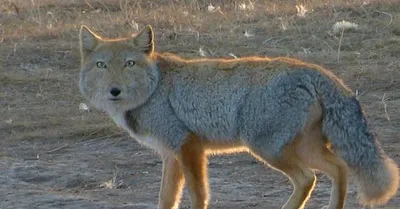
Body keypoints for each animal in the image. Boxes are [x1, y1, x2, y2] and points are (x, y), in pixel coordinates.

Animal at [79, 24, 400, 209]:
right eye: (101, 65)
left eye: (130, 64)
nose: (115, 91)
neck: (155, 87)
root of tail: (312, 69)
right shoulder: (171, 154)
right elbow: (166, 198)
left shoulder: (188, 146)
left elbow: (198, 194)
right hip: (303, 148)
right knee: (339, 169)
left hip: (268, 149)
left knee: (308, 178)